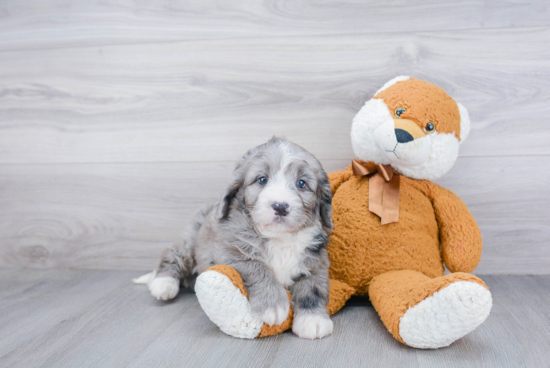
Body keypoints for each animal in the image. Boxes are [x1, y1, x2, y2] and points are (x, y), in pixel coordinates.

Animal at [137, 137, 336, 340]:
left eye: (301, 183)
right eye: (262, 180)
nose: (280, 206)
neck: (278, 238)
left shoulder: (317, 261)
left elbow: (313, 288)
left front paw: (313, 320)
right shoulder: (228, 250)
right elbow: (256, 267)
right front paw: (272, 303)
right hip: (190, 238)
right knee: (172, 255)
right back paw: (163, 284)